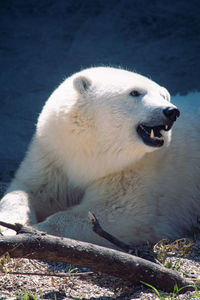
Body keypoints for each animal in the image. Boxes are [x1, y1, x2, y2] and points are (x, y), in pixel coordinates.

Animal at [0, 67, 200, 246]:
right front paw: (9, 227)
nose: (171, 111)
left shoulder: (135, 171)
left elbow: (122, 210)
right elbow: (28, 190)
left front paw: (38, 229)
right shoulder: (54, 156)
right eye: (135, 92)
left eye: (163, 96)